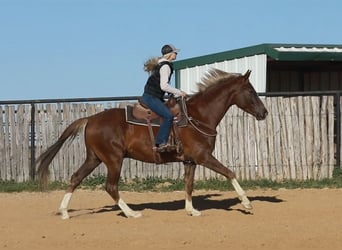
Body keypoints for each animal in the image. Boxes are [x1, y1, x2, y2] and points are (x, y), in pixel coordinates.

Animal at [36, 68, 268, 219]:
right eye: (250, 91)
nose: (264, 113)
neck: (198, 115)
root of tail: (90, 119)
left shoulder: (190, 161)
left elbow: (189, 184)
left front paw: (191, 210)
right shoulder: (203, 157)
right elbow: (230, 173)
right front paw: (247, 203)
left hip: (94, 158)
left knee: (75, 178)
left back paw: (64, 212)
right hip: (113, 160)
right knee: (111, 186)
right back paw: (131, 213)